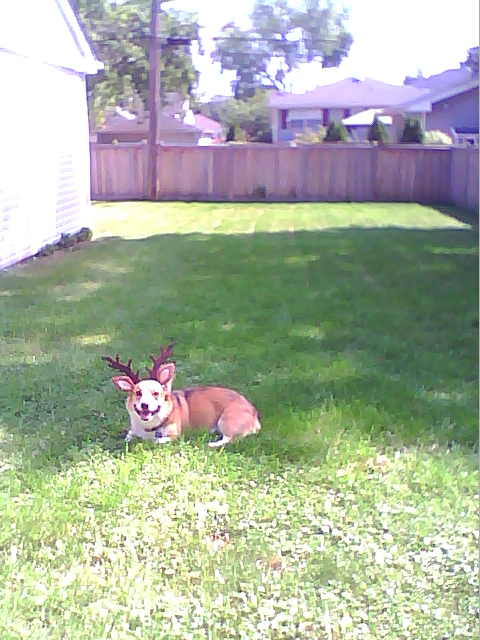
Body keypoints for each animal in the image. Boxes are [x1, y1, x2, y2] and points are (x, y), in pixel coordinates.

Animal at [102, 344, 261, 447]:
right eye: (138, 393)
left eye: (155, 393)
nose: (144, 405)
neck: (150, 427)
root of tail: (254, 414)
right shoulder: (133, 430)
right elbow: (128, 435)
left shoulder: (173, 435)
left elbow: (157, 440)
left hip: (227, 420)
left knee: (230, 438)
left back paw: (211, 443)